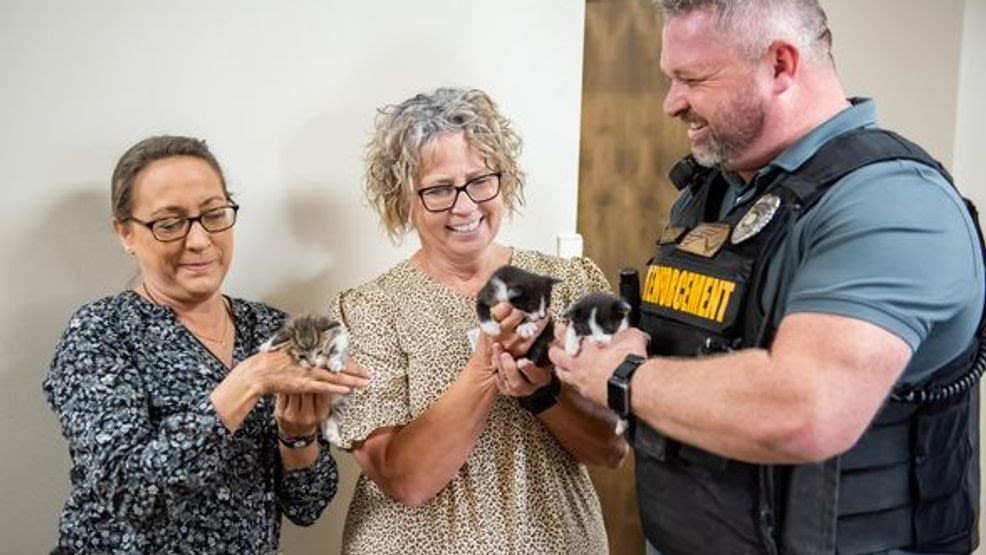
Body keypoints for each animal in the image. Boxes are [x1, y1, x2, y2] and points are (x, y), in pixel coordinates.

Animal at [262, 314, 350, 446]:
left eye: (320, 352)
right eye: (302, 356)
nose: (313, 364)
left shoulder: (339, 335)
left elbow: (338, 347)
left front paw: (335, 363)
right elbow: (277, 338)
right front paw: (268, 345)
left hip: (341, 398)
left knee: (333, 416)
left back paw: (332, 434)